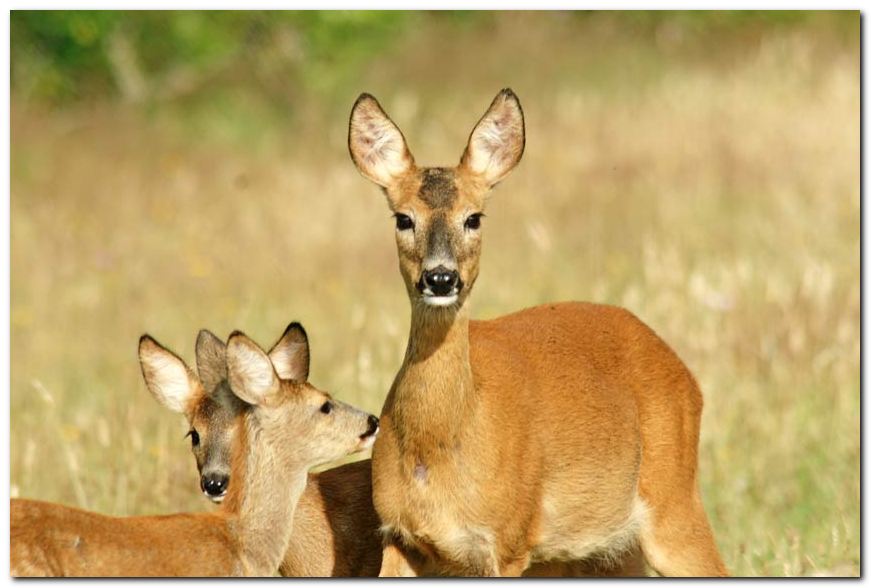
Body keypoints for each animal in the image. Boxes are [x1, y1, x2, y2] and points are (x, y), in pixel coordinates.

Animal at [348, 89, 728, 576]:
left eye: (474, 218)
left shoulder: (509, 538)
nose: (440, 278)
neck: (442, 444)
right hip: (612, 551)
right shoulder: (398, 534)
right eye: (402, 218)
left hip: (674, 500)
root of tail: (686, 375)